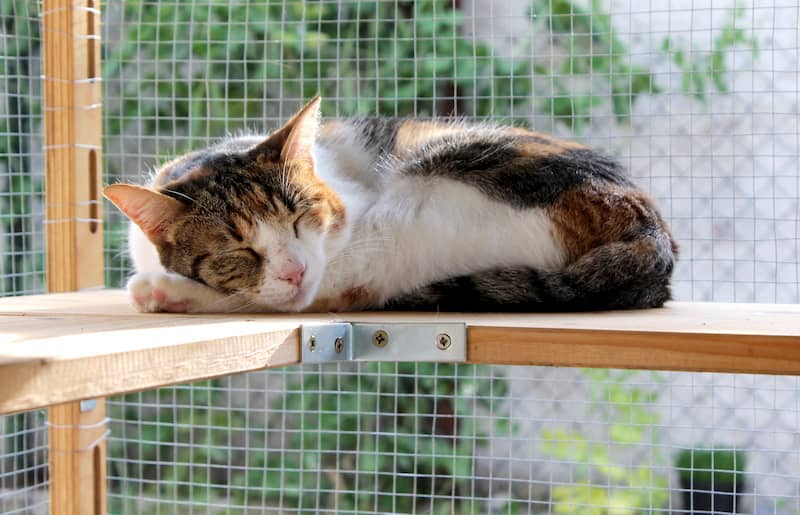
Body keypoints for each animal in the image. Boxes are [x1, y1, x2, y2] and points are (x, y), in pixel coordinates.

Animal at [104, 97, 676, 314]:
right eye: (237, 250)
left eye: (300, 217)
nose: (294, 270)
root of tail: (653, 237)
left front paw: (168, 287)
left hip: (419, 204)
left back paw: (164, 292)